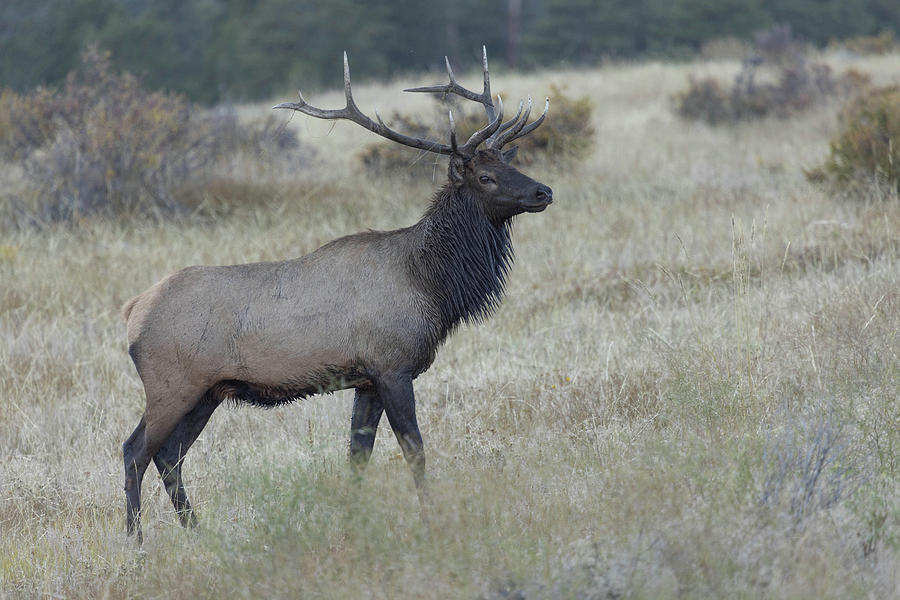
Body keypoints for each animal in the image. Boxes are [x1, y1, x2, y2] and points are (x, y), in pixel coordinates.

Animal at [123, 48, 552, 544]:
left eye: (510, 164)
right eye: (485, 176)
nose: (543, 191)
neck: (431, 286)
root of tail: (132, 311)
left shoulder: (365, 379)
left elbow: (357, 456)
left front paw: (351, 525)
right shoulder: (392, 366)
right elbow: (415, 450)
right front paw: (431, 524)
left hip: (208, 392)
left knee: (168, 456)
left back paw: (198, 531)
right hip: (171, 385)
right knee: (135, 450)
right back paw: (135, 542)